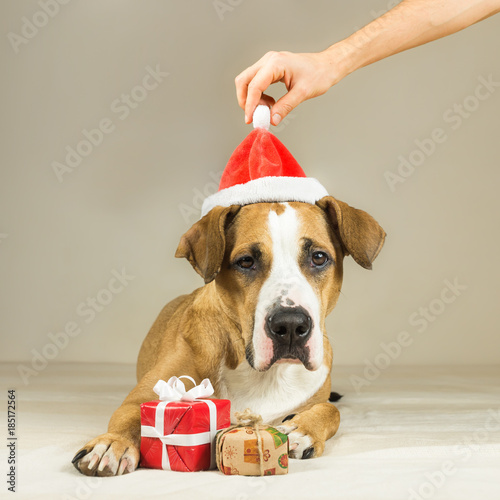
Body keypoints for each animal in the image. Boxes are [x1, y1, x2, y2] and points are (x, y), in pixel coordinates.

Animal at [72, 192, 386, 476]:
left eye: (319, 257)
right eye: (246, 261)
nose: (290, 326)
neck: (261, 374)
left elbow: (333, 412)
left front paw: (302, 429)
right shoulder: (144, 395)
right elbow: (129, 416)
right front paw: (112, 444)